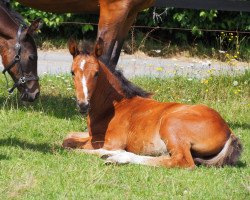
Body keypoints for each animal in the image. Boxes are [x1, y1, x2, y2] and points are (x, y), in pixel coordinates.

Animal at [62, 38, 242, 169]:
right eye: (72, 72)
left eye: (96, 73)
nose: (83, 105)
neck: (112, 108)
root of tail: (229, 131)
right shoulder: (91, 135)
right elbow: (68, 136)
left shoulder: (110, 141)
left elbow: (70, 145)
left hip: (171, 125)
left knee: (182, 162)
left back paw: (117, 156)